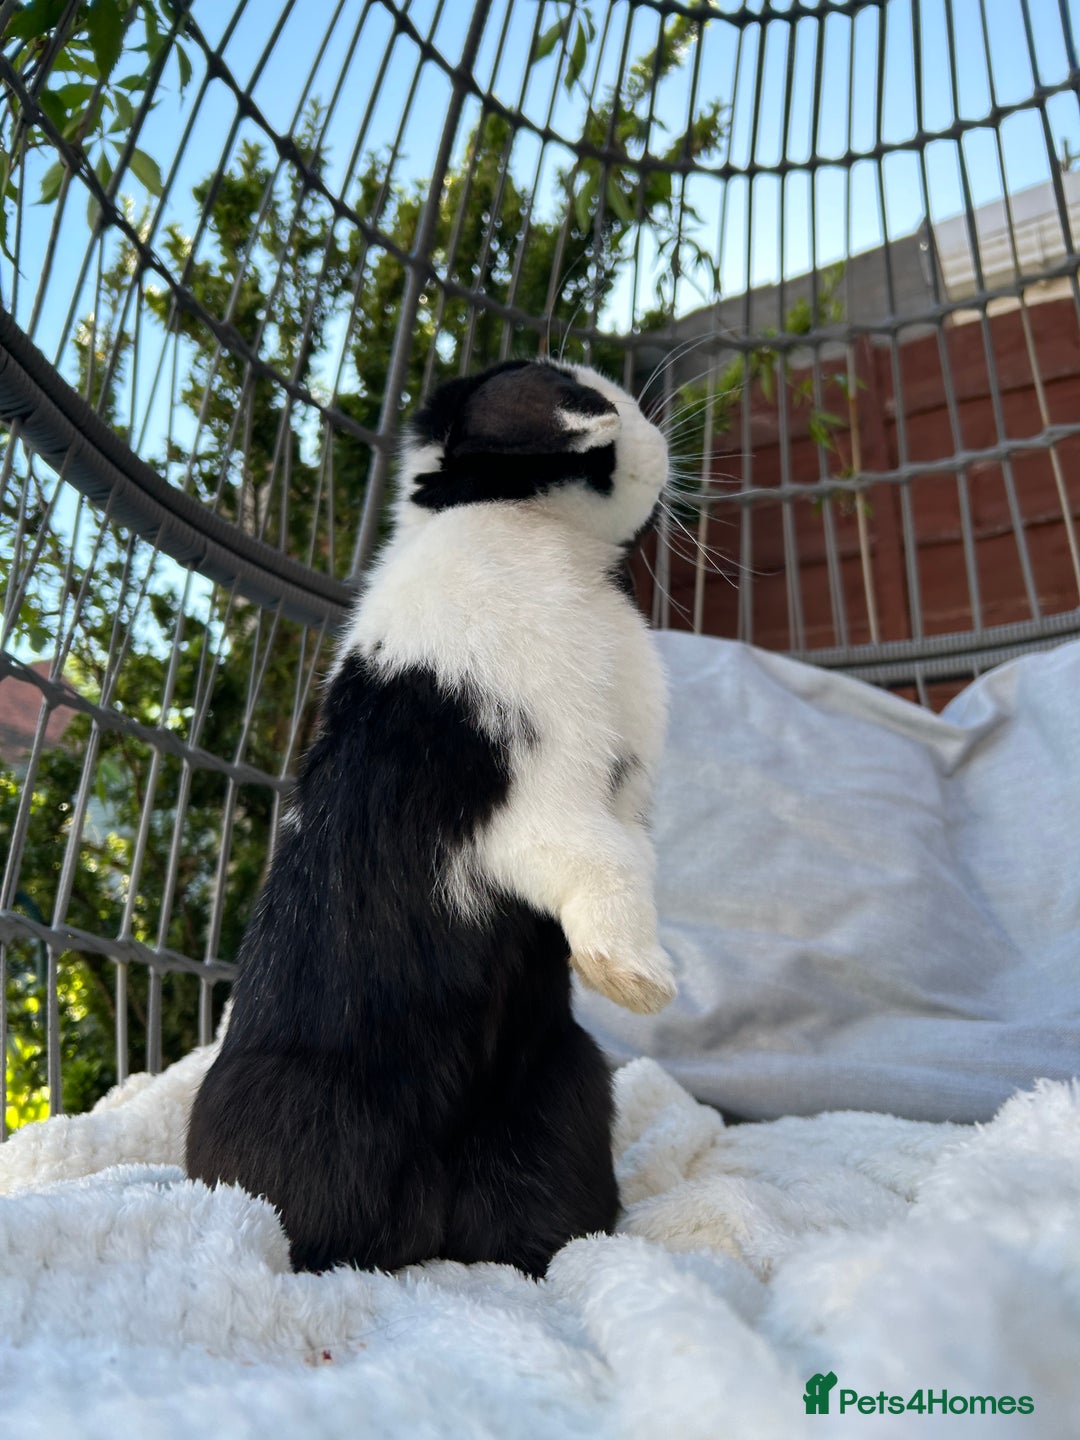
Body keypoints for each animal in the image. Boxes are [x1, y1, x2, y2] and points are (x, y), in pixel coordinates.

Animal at [185, 359, 675, 1277]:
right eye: (589, 403)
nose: (661, 446)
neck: (512, 521)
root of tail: (424, 1237)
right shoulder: (536, 805)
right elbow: (607, 868)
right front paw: (639, 982)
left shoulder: (618, 802)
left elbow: (634, 866)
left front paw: (634, 974)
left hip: (562, 1090)